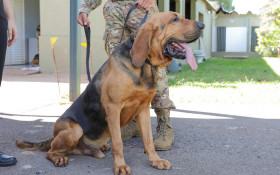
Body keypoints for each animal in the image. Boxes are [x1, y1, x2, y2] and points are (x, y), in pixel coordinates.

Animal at [17, 11, 203, 174]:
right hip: (73, 130)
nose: (202, 25)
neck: (145, 64)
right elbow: (119, 144)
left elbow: (149, 140)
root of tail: (54, 136)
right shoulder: (113, 109)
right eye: (174, 19)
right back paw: (59, 158)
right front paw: (120, 166)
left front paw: (155, 161)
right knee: (51, 151)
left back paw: (100, 147)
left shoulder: (143, 109)